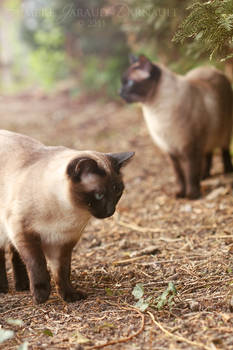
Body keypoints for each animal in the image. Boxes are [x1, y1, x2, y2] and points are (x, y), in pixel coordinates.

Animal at [0, 130, 135, 302]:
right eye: (99, 195)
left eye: (118, 192)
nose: (110, 211)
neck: (69, 213)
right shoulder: (25, 234)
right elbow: (37, 265)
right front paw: (41, 296)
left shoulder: (62, 243)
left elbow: (62, 272)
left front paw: (69, 295)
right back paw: (3, 288)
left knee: (14, 254)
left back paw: (22, 285)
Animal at [120, 53, 233, 198]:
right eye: (123, 83)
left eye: (129, 83)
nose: (120, 92)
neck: (154, 110)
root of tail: (211, 68)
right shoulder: (171, 151)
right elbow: (180, 175)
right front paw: (181, 193)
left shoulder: (190, 148)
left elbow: (191, 173)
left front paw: (192, 195)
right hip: (208, 139)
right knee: (208, 155)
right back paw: (205, 176)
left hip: (223, 134)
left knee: (224, 151)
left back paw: (227, 171)